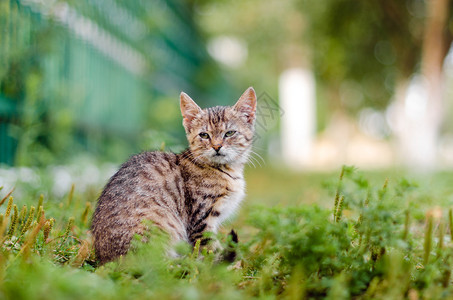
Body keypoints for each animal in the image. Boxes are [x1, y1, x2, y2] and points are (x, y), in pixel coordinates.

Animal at [90, 87, 256, 264]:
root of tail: (107, 261)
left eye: (229, 133)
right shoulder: (201, 219)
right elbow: (210, 249)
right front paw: (223, 266)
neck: (227, 170)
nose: (217, 146)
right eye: (204, 135)